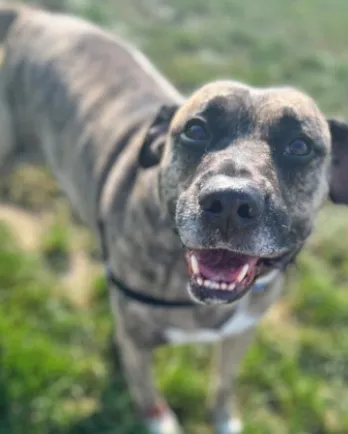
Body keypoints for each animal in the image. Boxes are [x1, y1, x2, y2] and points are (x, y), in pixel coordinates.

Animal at [0, 3, 348, 434]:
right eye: (196, 130)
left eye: (299, 146)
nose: (229, 201)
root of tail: (30, 16)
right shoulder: (134, 343)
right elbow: (150, 398)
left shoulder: (242, 333)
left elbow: (224, 384)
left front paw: (224, 419)